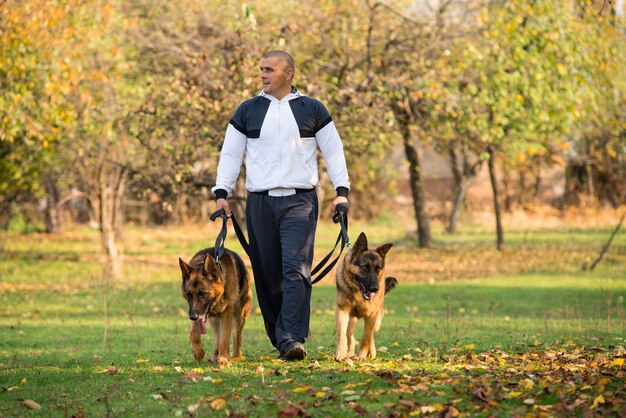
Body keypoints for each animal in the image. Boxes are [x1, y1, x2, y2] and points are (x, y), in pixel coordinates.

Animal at [334, 232, 398, 362]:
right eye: (365, 267)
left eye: (378, 268)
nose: (375, 288)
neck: (358, 294)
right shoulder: (342, 311)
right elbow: (341, 334)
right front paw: (341, 353)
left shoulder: (372, 316)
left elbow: (366, 338)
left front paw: (362, 356)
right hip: (351, 321)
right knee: (350, 337)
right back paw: (349, 354)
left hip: (376, 322)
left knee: (371, 335)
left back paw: (371, 352)